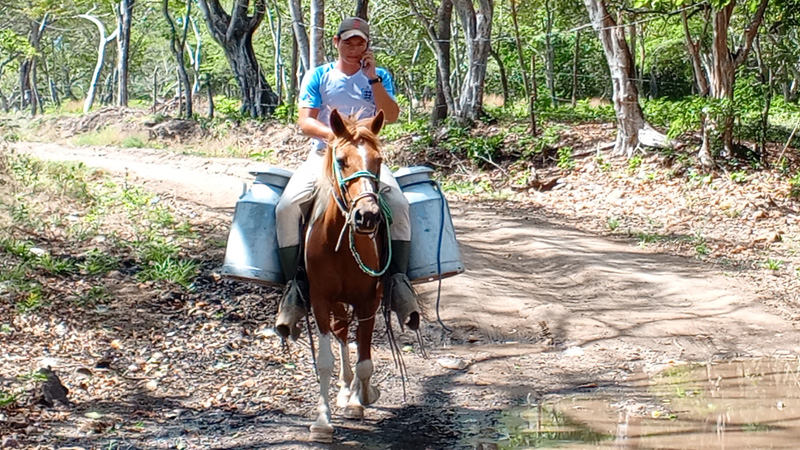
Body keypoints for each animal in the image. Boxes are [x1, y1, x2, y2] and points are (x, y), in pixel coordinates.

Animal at [304, 108, 390, 442]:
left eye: (378, 160)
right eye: (341, 160)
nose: (367, 216)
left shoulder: (368, 300)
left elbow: (365, 357)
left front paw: (359, 399)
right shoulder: (319, 300)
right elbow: (325, 361)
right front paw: (322, 421)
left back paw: (357, 392)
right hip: (337, 302)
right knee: (341, 332)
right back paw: (344, 388)